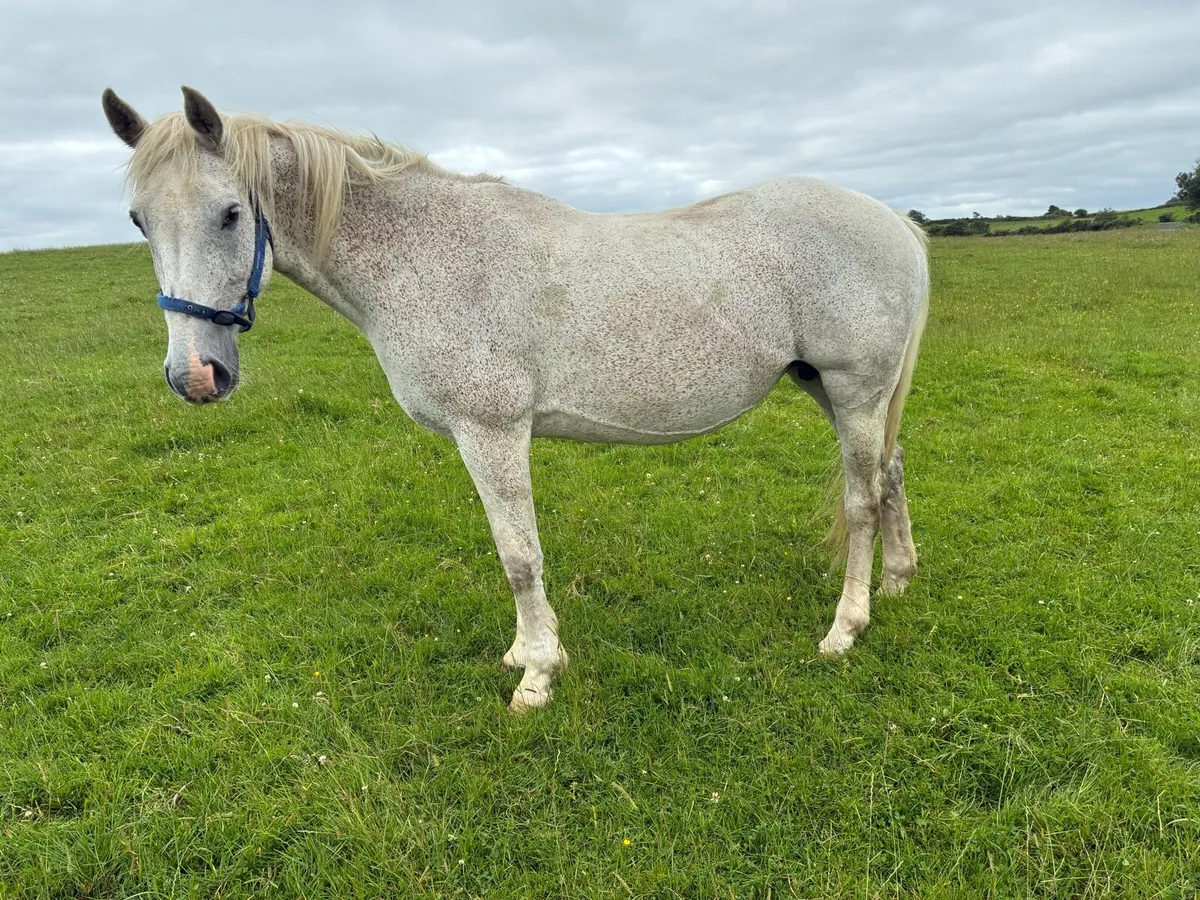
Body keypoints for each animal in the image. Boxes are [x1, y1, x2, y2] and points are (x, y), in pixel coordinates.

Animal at [100, 86, 930, 713]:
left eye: (231, 213)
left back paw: (847, 626)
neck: (426, 255)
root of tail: (894, 220)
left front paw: (536, 672)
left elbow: (519, 556)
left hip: (855, 390)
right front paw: (526, 656)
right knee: (889, 475)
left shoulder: (492, 431)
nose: (195, 375)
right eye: (139, 220)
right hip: (830, 388)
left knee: (861, 498)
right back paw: (897, 580)